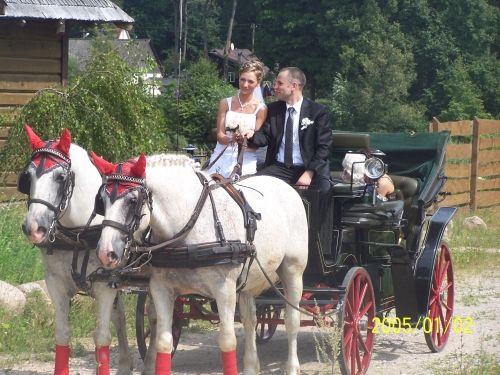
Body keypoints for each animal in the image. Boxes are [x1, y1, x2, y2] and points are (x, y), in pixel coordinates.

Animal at [20, 127, 154, 375]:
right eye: (28, 176)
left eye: (60, 177)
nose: (34, 228)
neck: (79, 232)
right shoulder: (55, 282)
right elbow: (63, 335)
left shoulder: (105, 285)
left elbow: (101, 337)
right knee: (121, 315)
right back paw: (124, 364)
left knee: (156, 317)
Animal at [91, 153, 306, 375]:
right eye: (101, 201)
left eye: (132, 200)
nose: (105, 252)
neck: (189, 224)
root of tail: (285, 185)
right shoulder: (161, 289)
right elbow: (163, 342)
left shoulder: (224, 290)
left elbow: (227, 341)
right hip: (247, 279)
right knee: (250, 319)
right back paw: (250, 366)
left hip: (292, 271)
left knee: (292, 320)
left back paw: (292, 367)